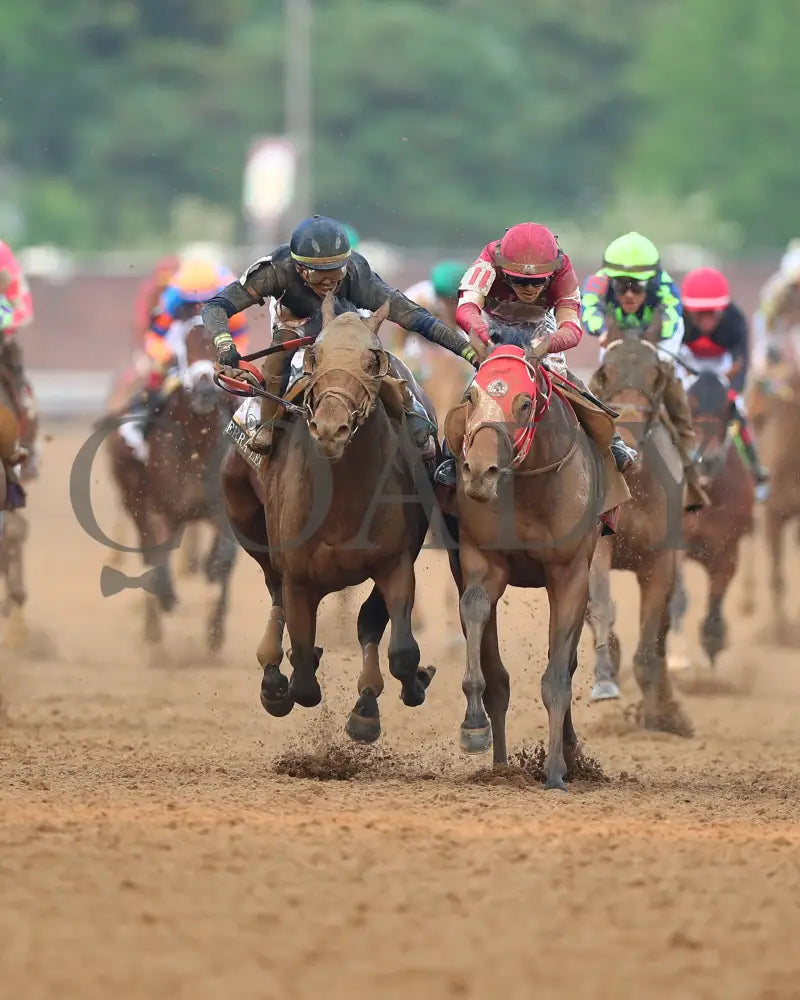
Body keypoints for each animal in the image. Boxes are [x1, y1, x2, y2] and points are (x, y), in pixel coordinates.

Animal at [104, 318, 234, 648]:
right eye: (183, 350)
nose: (205, 390)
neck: (197, 442)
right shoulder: (156, 509)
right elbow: (158, 561)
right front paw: (166, 599)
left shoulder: (222, 509)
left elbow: (223, 561)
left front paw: (215, 631)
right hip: (136, 501)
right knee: (150, 553)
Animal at [220, 292, 438, 740]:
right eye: (314, 356)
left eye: (373, 360)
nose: (330, 429)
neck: (341, 500)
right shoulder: (299, 575)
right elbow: (303, 672)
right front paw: (285, 683)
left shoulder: (395, 561)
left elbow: (400, 649)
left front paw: (385, 699)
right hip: (246, 521)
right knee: (274, 592)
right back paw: (272, 676)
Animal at [444, 344, 624, 788]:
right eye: (471, 395)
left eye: (524, 403)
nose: (479, 473)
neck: (527, 483)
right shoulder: (482, 558)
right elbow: (475, 609)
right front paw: (474, 727)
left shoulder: (570, 572)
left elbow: (558, 674)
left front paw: (556, 770)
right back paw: (501, 766)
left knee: (567, 662)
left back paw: (568, 754)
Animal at [580, 336, 692, 736]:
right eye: (604, 373)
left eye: (657, 376)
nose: (625, 440)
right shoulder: (598, 545)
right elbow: (599, 606)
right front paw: (605, 680)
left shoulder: (659, 560)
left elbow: (650, 637)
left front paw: (658, 715)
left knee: (662, 631)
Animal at [672, 368, 752, 664]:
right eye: (689, 402)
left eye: (728, 407)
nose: (707, 460)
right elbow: (678, 596)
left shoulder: (727, 547)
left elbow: (718, 592)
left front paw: (713, 637)